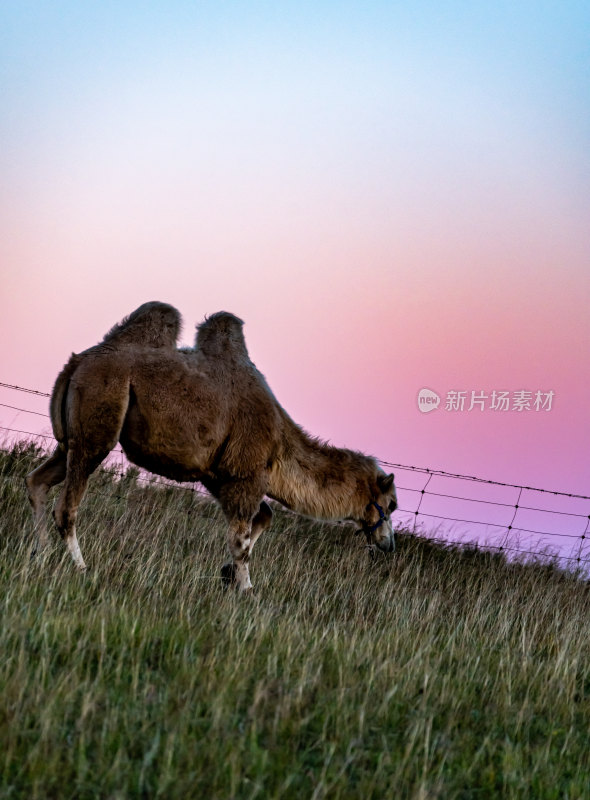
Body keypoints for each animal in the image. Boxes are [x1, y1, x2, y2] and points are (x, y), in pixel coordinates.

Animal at [26, 304, 398, 592]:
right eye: (391, 505)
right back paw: (81, 567)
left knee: (38, 480)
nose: (388, 545)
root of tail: (76, 363)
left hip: (70, 437)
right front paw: (245, 588)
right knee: (67, 506)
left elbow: (263, 517)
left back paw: (39, 554)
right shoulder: (245, 473)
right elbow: (242, 538)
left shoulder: (218, 474)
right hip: (99, 416)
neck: (280, 441)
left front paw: (228, 574)